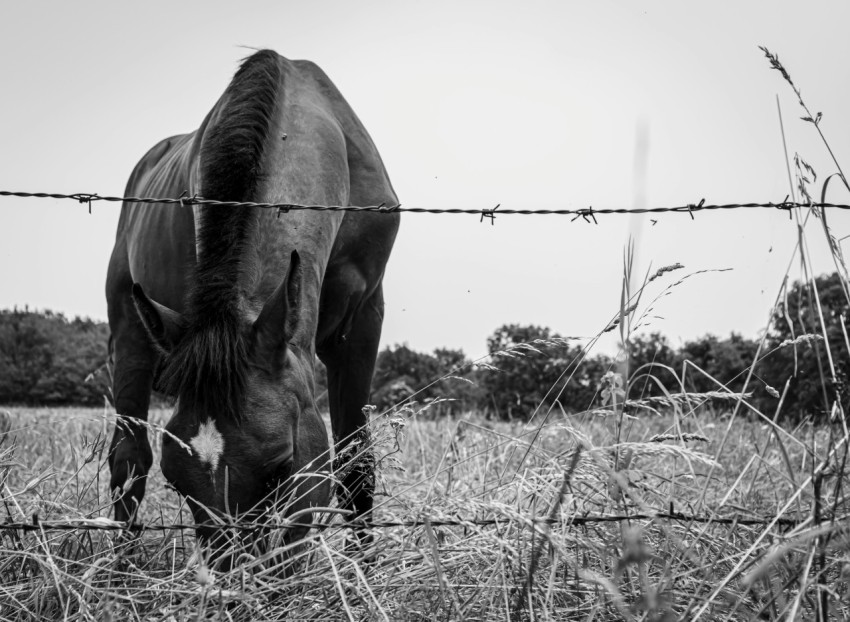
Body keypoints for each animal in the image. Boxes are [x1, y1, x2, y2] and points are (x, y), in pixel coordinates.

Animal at [105, 48, 398, 552]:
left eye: (282, 466)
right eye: (177, 482)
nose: (239, 572)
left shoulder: (361, 324)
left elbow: (356, 466)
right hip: (131, 328)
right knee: (128, 459)